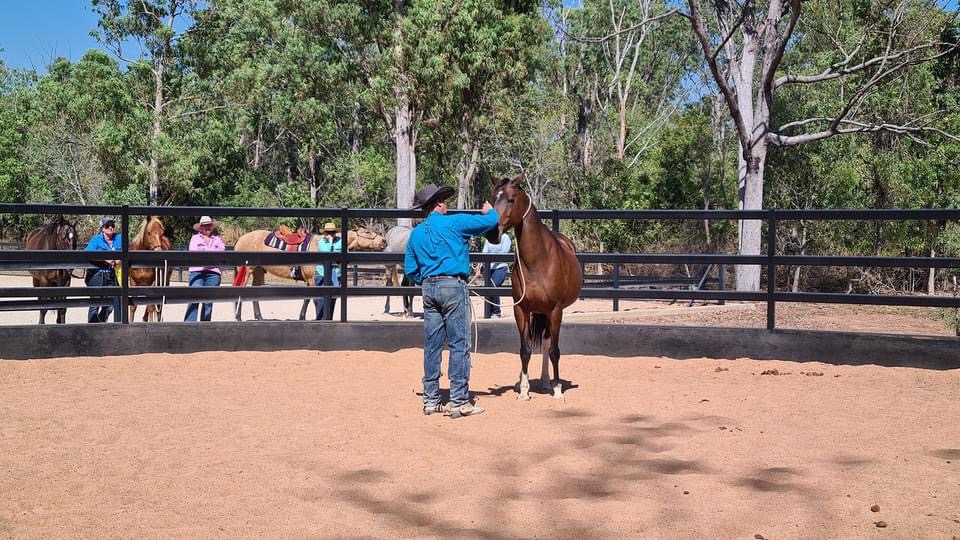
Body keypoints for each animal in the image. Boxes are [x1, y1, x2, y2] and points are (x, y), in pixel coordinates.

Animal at [231, 225, 384, 320]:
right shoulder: (312, 280)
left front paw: (302, 317)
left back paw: (259, 317)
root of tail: (240, 239)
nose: (383, 241)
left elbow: (307, 299)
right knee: (240, 290)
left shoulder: (310, 281)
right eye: (367, 232)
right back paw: (238, 317)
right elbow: (314, 299)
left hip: (258, 271)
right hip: (246, 270)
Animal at [484, 174, 580, 400]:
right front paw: (523, 390)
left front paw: (557, 389)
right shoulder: (521, 310)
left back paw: (547, 382)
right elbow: (524, 350)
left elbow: (554, 351)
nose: (492, 234)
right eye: (492, 199)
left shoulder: (555, 310)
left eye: (511, 199)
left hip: (548, 313)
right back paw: (531, 382)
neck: (538, 262)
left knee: (546, 343)